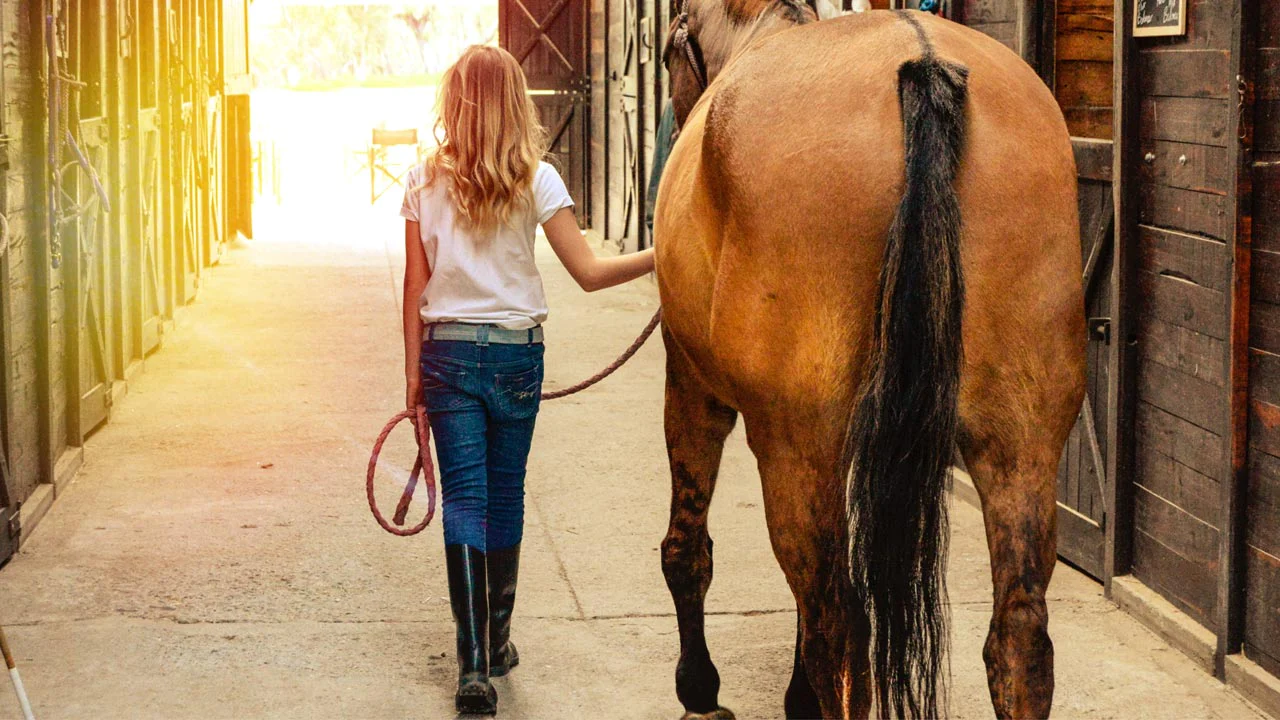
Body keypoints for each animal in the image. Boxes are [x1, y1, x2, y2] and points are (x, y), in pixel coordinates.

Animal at [652, 1, 1085, 718]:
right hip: (1022, 442)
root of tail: (924, 63)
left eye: (665, 52)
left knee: (840, 626)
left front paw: (699, 688)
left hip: (797, 447)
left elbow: (687, 552)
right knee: (1020, 637)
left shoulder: (690, 386)